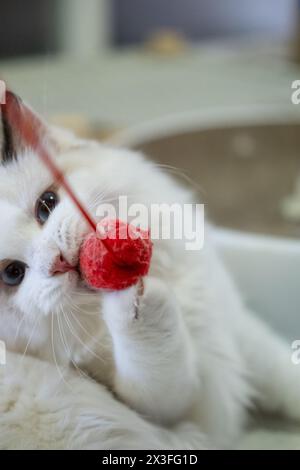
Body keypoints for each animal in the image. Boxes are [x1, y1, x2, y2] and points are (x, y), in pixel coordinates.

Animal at [0, 92, 300, 448]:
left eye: (46, 205)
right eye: (12, 274)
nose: (57, 259)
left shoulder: (233, 323)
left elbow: (280, 368)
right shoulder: (171, 405)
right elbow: (157, 358)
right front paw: (133, 297)